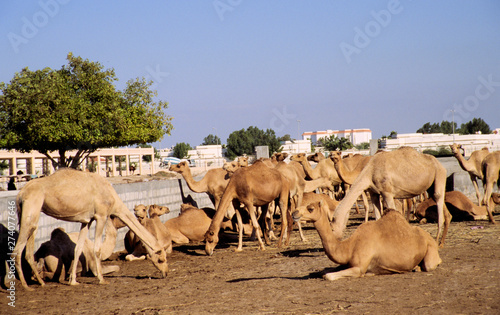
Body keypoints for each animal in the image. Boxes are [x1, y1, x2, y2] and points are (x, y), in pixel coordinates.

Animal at [11, 168, 168, 292]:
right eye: (160, 259)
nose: (166, 272)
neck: (113, 199)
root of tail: (20, 194)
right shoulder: (101, 216)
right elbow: (97, 249)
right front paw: (102, 280)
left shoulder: (86, 221)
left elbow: (78, 248)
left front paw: (73, 281)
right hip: (31, 209)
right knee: (17, 250)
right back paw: (26, 286)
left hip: (30, 213)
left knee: (29, 251)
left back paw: (41, 283)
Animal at [292, 200, 442, 282]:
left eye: (310, 208)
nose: (294, 213)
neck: (349, 246)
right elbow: (323, 271)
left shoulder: (359, 268)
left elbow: (327, 276)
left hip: (430, 250)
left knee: (430, 265)